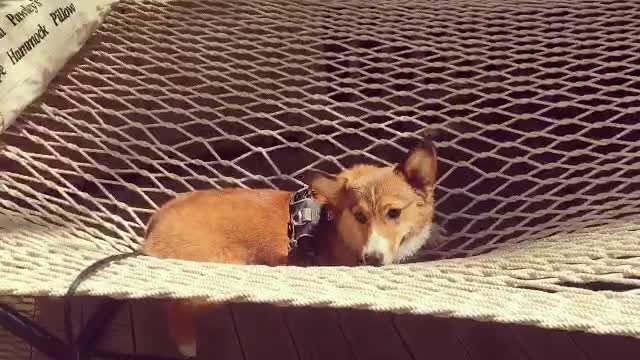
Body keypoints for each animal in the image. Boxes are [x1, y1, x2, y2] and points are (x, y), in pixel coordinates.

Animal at [142, 135, 438, 358]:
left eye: (394, 213)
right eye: (360, 216)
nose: (373, 260)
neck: (334, 224)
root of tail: (154, 223)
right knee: (176, 309)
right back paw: (187, 345)